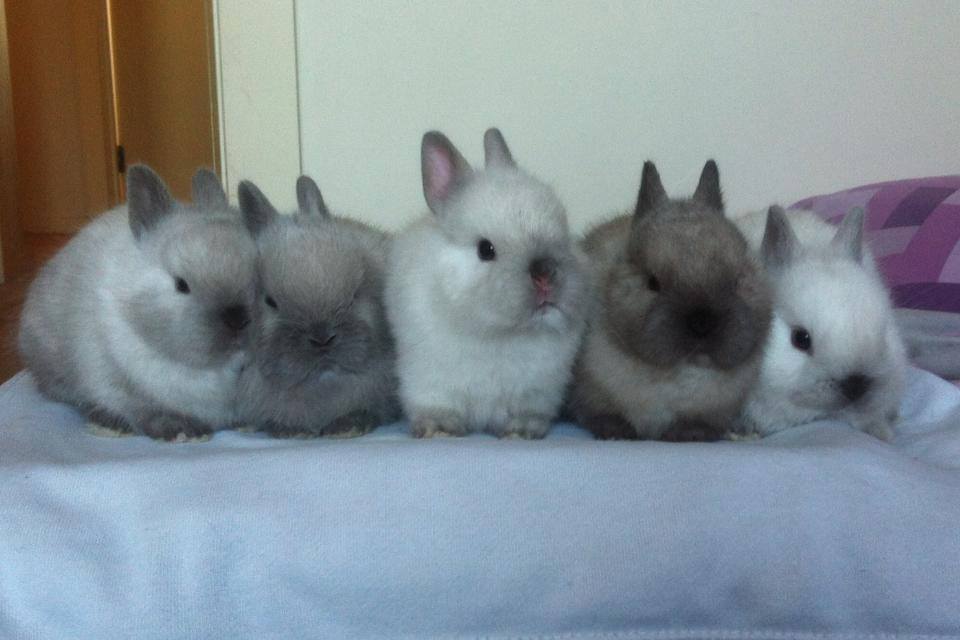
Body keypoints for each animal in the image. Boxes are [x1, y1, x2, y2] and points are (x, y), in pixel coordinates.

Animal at [18, 164, 258, 441]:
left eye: (258, 272)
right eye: (181, 285)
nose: (238, 319)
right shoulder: (115, 382)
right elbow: (145, 411)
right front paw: (183, 432)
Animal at [385, 128, 589, 439]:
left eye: (563, 232)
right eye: (485, 249)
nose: (546, 273)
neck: (498, 334)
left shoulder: (539, 392)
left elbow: (528, 413)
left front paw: (521, 432)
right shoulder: (429, 380)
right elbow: (436, 406)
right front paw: (439, 429)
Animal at [569, 160, 772, 441]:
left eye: (737, 280)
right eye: (652, 282)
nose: (702, 323)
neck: (681, 375)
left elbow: (698, 424)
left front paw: (688, 435)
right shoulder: (592, 392)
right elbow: (603, 415)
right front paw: (618, 433)